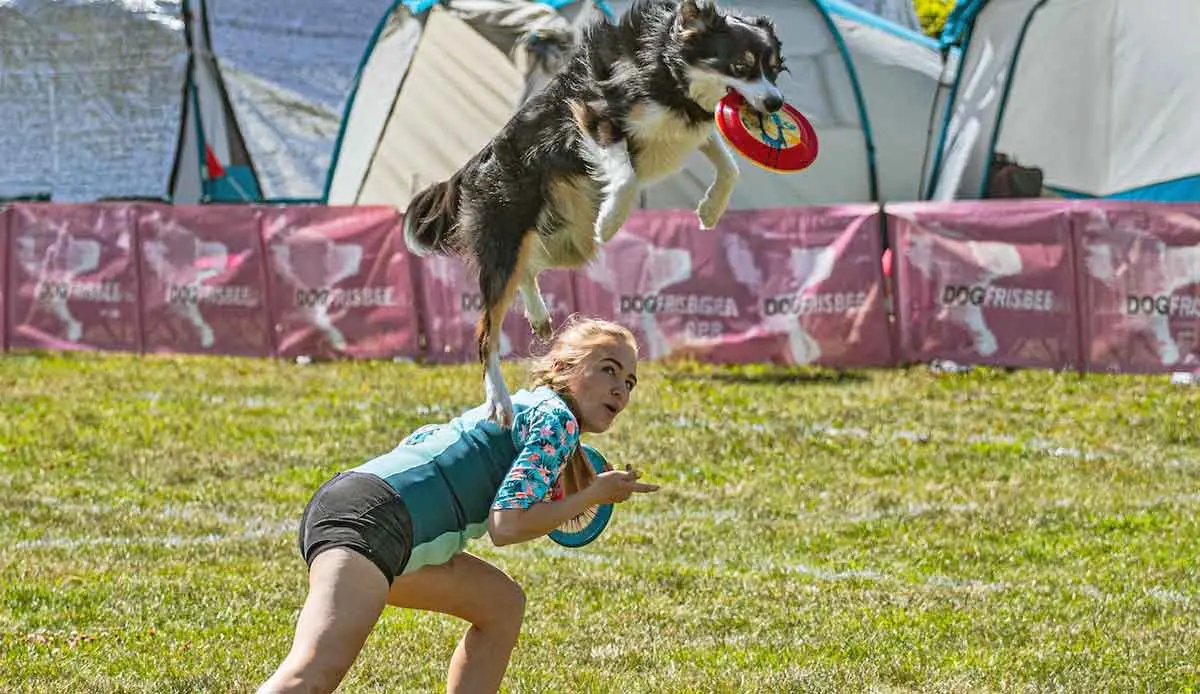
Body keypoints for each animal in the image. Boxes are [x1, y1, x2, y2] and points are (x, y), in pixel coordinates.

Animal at [408, 0, 792, 422]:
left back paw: (540, 316)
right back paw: (498, 397)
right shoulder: (594, 113)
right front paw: (609, 221)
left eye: (775, 68)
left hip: (566, 242)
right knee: (488, 328)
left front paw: (710, 210)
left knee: (528, 268)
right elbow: (625, 177)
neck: (665, 68)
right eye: (741, 66)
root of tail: (478, 161)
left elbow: (729, 165)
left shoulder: (685, 129)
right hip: (509, 228)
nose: (775, 102)